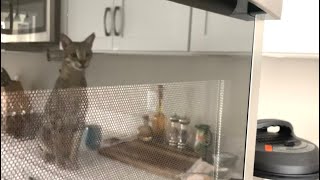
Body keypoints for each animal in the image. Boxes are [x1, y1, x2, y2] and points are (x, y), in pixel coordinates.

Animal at [38, 33, 95, 169]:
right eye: (74, 54)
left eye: (87, 54)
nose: (83, 62)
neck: (74, 82)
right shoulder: (56, 120)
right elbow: (57, 145)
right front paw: (60, 163)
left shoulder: (80, 121)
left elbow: (75, 147)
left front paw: (72, 162)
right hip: (43, 131)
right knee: (46, 149)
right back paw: (48, 157)